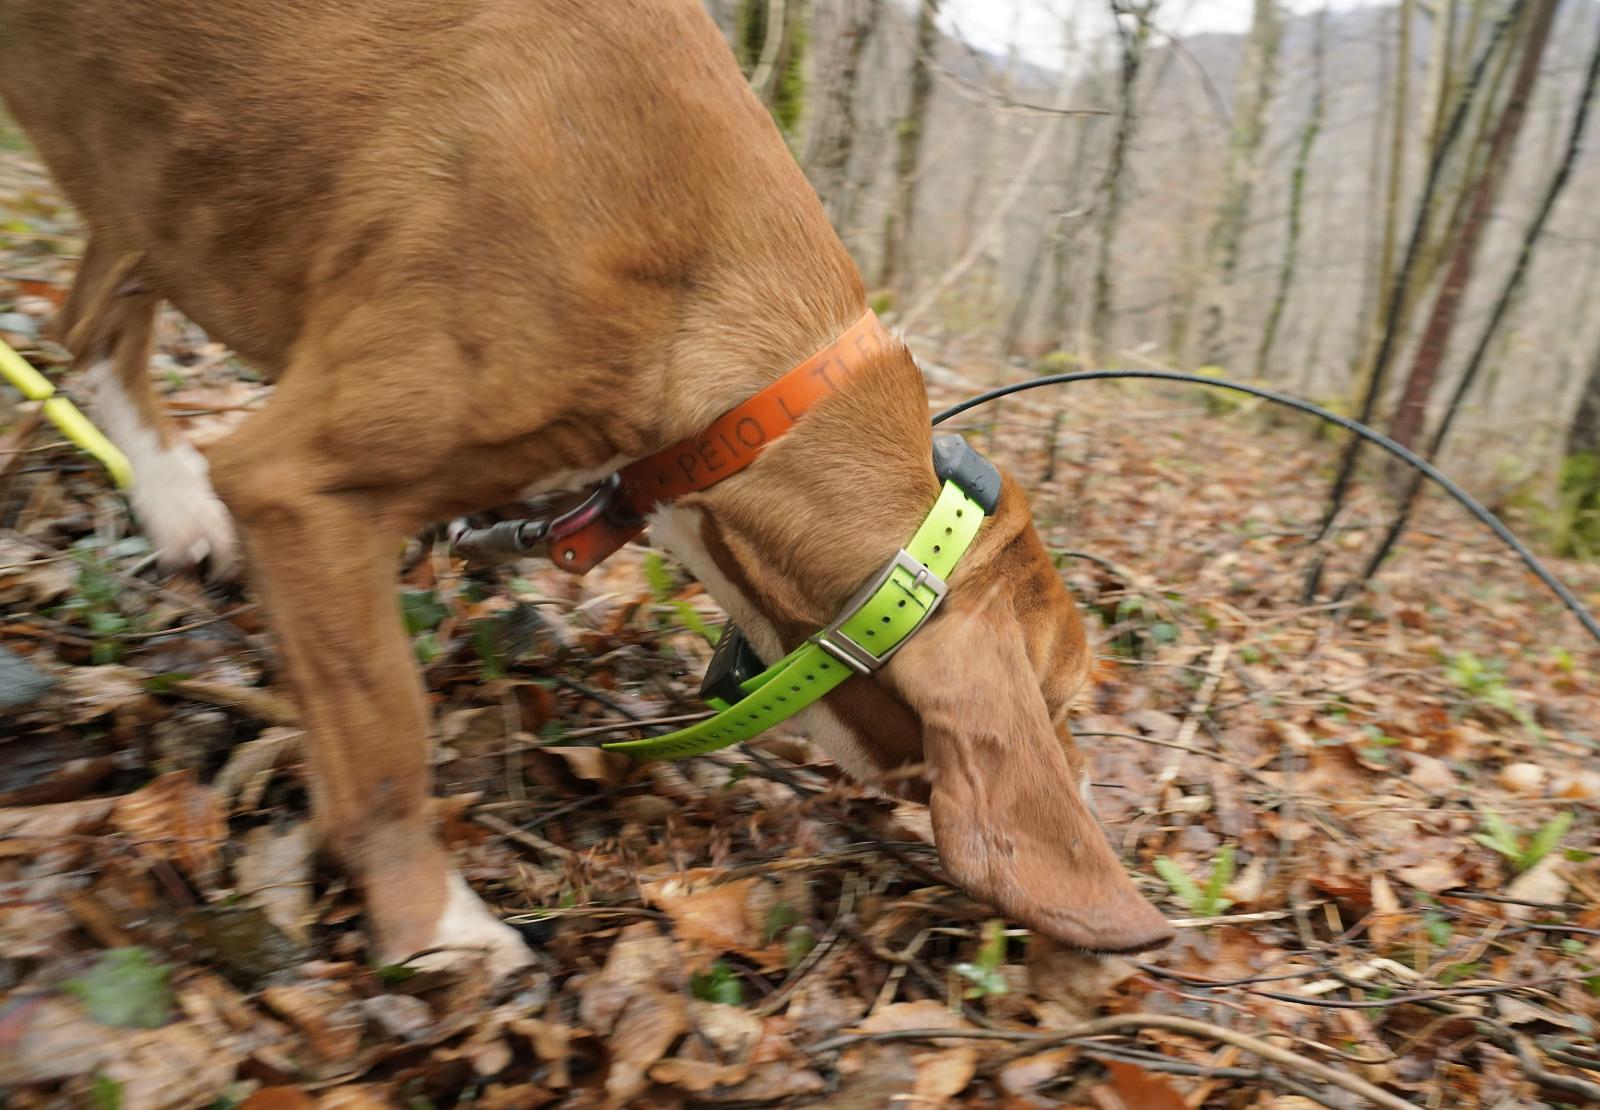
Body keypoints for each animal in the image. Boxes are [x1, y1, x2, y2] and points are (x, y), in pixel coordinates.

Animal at [0, 0, 1177, 972]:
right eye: (1064, 706)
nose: (1098, 789)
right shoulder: (301, 485)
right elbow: (382, 744)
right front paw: (434, 927)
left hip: (146, 171)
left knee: (89, 322)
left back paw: (171, 499)